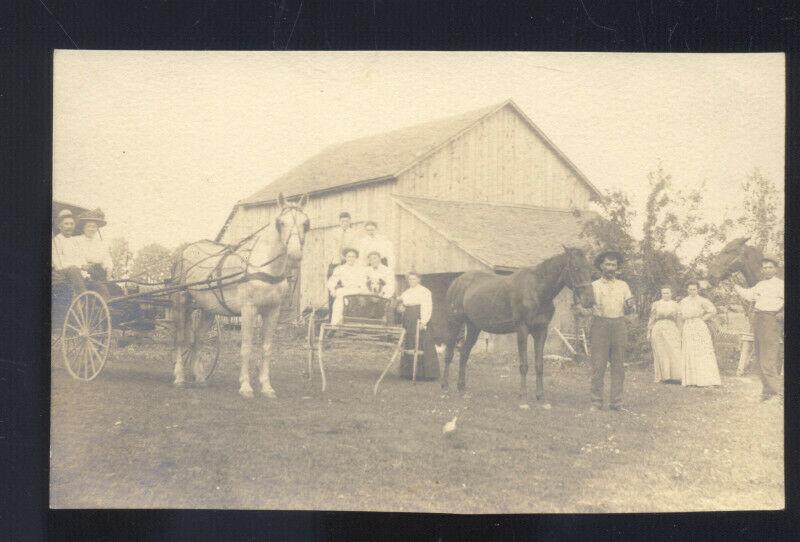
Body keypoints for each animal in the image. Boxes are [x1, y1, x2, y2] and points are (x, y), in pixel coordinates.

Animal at [172, 193, 310, 398]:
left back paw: (200, 378)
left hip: (207, 310)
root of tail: (186, 249)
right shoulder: (248, 309)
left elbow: (266, 348)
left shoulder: (273, 311)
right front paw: (245, 386)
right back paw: (180, 377)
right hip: (181, 302)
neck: (263, 268)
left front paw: (267, 387)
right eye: (280, 223)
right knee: (181, 339)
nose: (295, 255)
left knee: (197, 340)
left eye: (306, 223)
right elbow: (246, 347)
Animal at [444, 248, 592, 408]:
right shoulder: (522, 330)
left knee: (464, 353)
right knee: (449, 354)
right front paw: (523, 397)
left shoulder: (541, 331)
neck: (537, 291)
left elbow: (539, 365)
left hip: (473, 327)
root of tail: (457, 282)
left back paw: (461, 387)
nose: (590, 300)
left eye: (589, 268)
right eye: (576, 267)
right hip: (454, 324)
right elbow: (524, 365)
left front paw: (541, 397)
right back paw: (445, 386)